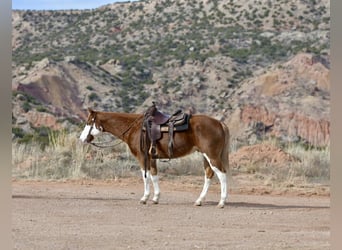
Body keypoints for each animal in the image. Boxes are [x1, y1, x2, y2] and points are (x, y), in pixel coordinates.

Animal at [79, 107, 230, 207]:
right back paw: (199, 200)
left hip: (212, 156)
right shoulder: (151, 158)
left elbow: (146, 177)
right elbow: (154, 176)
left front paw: (144, 198)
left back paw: (221, 202)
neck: (134, 128)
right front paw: (155, 198)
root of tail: (219, 123)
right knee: (209, 175)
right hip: (206, 156)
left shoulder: (142, 157)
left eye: (88, 122)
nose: (81, 139)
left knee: (222, 175)